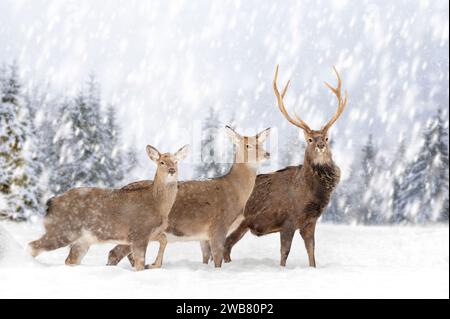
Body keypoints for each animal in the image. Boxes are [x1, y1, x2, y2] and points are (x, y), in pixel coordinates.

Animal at [27, 145, 190, 272]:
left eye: (176, 161)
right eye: (161, 162)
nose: (171, 170)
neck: (158, 206)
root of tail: (52, 202)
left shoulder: (151, 232)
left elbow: (164, 239)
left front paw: (154, 265)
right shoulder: (139, 232)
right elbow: (139, 263)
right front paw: (149, 266)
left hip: (83, 239)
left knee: (70, 260)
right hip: (64, 229)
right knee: (33, 246)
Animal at [108, 126, 270, 268]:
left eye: (262, 143)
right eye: (248, 145)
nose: (267, 154)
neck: (236, 193)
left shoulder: (203, 235)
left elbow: (206, 258)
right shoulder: (219, 224)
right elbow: (217, 258)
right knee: (114, 253)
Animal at [223, 66, 346, 268]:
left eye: (327, 138)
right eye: (310, 139)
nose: (320, 145)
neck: (310, 193)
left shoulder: (310, 222)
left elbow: (312, 254)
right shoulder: (288, 221)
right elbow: (284, 254)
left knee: (226, 246)